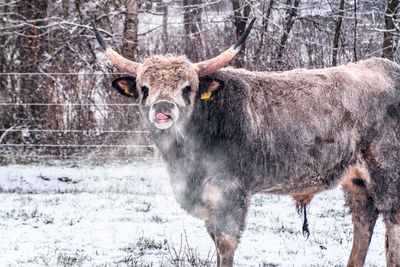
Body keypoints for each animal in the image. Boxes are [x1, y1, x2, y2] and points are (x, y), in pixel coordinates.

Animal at [91, 19, 400, 266]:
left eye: (187, 88)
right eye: (144, 88)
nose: (163, 108)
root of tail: (387, 67)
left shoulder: (230, 193)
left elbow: (225, 243)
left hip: (387, 173)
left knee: (392, 225)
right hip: (357, 180)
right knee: (364, 222)